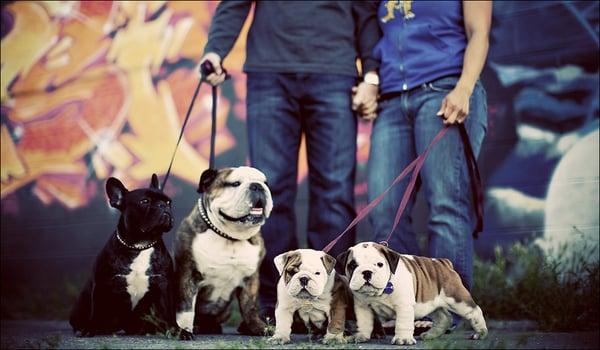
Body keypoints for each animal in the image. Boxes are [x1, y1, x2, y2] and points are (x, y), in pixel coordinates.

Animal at [70, 175, 177, 336]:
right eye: (145, 201)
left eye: (169, 201)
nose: (163, 206)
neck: (140, 246)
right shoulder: (102, 284)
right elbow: (97, 311)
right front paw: (91, 329)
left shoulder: (164, 284)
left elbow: (169, 312)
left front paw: (178, 330)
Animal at [172, 168, 274, 340]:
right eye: (235, 183)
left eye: (265, 183)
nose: (257, 186)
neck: (229, 237)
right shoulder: (188, 274)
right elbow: (186, 308)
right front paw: (184, 331)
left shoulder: (251, 278)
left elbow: (250, 307)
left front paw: (258, 328)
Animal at [338, 242, 488, 346]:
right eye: (352, 265)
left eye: (379, 264)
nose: (367, 272)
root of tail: (443, 263)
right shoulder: (362, 307)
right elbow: (363, 322)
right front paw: (361, 336)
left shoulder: (403, 306)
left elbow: (402, 323)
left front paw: (403, 339)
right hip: (431, 304)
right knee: (444, 317)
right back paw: (430, 335)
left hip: (457, 300)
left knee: (475, 311)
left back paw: (480, 333)